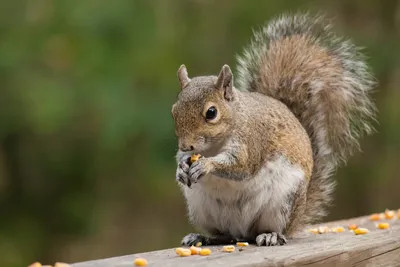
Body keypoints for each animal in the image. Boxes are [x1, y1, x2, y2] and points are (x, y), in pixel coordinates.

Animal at [170, 12, 376, 247]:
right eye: (174, 111)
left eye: (211, 113)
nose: (186, 145)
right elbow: (184, 160)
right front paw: (181, 167)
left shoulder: (252, 141)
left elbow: (241, 166)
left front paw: (206, 165)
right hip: (201, 208)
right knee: (225, 235)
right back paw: (202, 237)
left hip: (283, 203)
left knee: (268, 230)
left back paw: (270, 235)